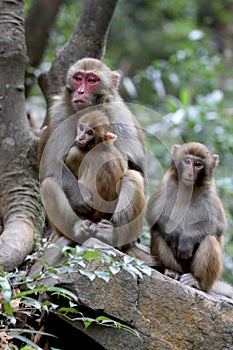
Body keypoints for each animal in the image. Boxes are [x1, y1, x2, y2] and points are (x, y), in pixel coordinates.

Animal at [147, 142, 227, 292]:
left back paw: (197, 281)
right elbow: (153, 214)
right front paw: (174, 235)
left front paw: (187, 240)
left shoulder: (209, 191)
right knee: (158, 233)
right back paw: (172, 271)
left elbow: (218, 225)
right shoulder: (167, 182)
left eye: (198, 164)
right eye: (187, 161)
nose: (190, 173)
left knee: (209, 239)